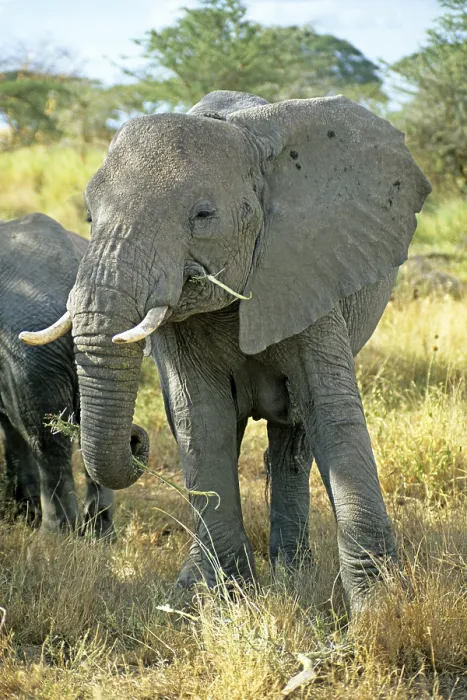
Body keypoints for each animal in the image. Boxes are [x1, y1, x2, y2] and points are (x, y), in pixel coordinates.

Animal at [21, 91, 431, 611]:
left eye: (202, 215)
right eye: (90, 218)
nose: (136, 438)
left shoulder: (305, 270)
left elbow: (332, 413)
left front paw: (382, 610)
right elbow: (200, 419)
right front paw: (222, 597)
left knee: (293, 439)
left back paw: (294, 574)